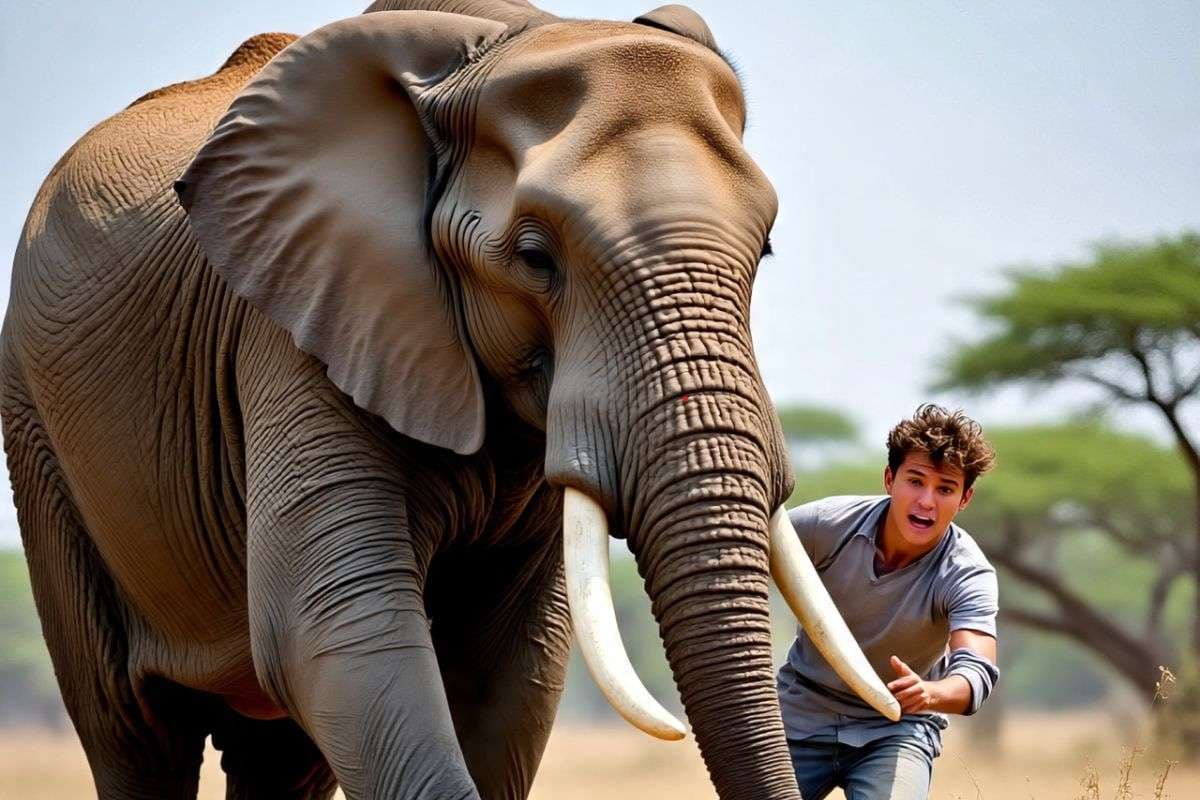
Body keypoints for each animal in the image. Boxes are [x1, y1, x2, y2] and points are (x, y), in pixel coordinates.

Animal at [1, 2, 897, 798]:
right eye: (535, 257)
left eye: (765, 248)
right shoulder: (300, 321)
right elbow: (332, 629)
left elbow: (512, 668)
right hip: (37, 430)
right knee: (133, 730)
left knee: (278, 757)